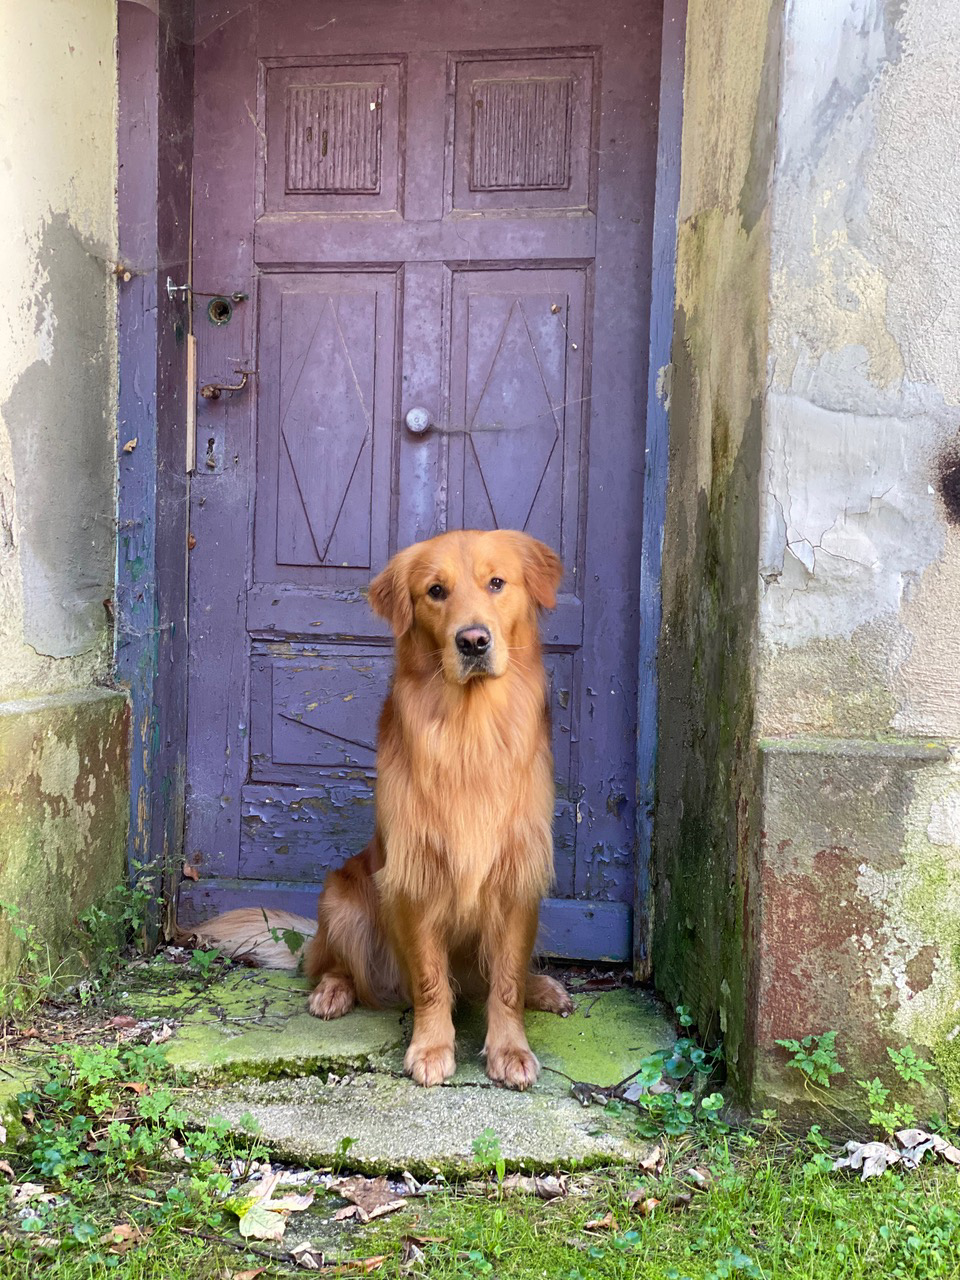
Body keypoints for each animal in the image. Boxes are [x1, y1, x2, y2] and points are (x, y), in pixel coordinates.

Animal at [189, 529, 574, 1089]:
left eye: (497, 583)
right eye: (436, 591)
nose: (473, 641)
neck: (470, 731)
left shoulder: (517, 872)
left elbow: (505, 982)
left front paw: (510, 1049)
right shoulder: (414, 874)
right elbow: (431, 980)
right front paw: (432, 1047)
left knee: (496, 981)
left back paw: (541, 988)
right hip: (342, 899)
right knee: (338, 967)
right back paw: (332, 991)